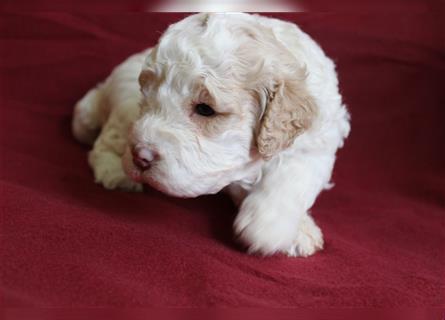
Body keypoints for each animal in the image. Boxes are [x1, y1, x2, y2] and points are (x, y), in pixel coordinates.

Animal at [72, 13, 350, 258]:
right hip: (125, 107)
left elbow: (294, 177)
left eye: (205, 109)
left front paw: (279, 227)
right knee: (105, 140)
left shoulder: (319, 142)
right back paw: (116, 173)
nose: (140, 157)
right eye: (148, 95)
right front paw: (269, 229)